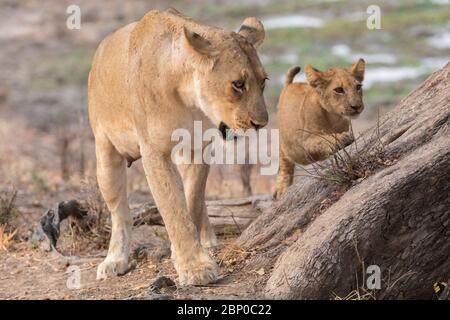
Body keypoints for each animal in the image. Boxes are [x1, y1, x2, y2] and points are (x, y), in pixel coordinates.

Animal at [89, 8, 268, 284]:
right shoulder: (154, 151)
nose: (261, 124)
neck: (186, 96)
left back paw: (208, 239)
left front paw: (187, 254)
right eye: (238, 84)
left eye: (263, 82)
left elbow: (191, 201)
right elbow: (173, 206)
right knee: (119, 212)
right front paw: (195, 268)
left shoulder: (197, 148)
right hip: (105, 152)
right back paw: (114, 261)